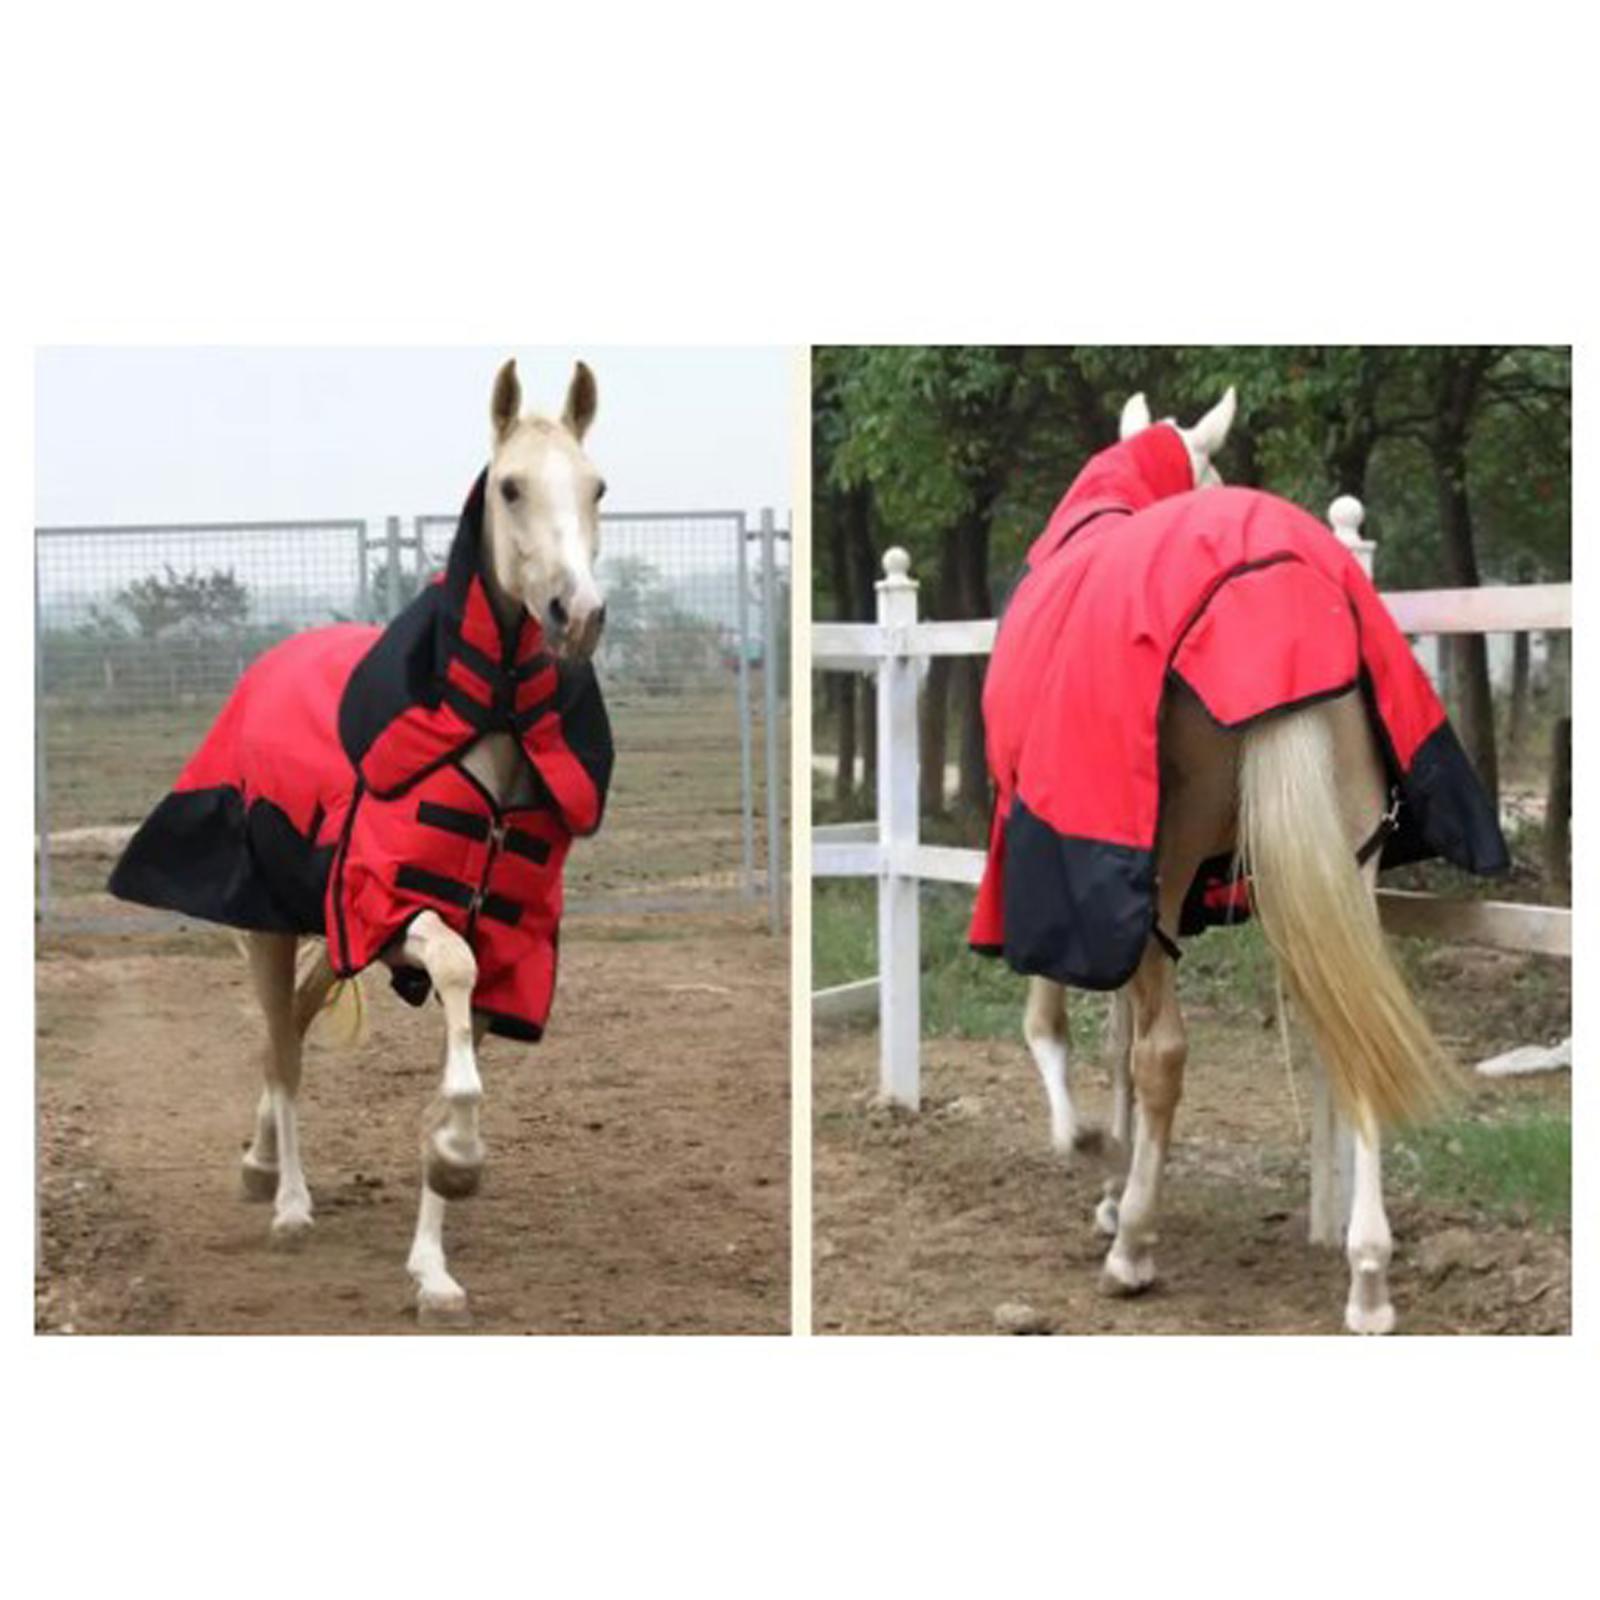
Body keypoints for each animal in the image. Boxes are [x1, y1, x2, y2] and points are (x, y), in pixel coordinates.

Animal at [109, 359, 610, 1324]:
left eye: (597, 487)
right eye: (511, 486)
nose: (579, 613)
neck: (490, 732)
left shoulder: (510, 942)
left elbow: (448, 1082)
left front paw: (435, 1255)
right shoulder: (387, 904)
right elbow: (449, 968)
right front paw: (458, 1161)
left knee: (296, 1028)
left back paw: (261, 1162)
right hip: (267, 923)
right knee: (282, 1049)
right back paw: (289, 1200)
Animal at [976, 390, 1506, 1333]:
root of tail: (1276, 605)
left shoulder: (1047, 851)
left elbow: (1069, 1026)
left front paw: (1097, 1162)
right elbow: (1115, 1032)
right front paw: (1110, 1174)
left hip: (1167, 863)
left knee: (1164, 1054)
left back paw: (1133, 1250)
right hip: (1342, 867)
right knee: (1351, 1032)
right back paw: (1368, 1278)